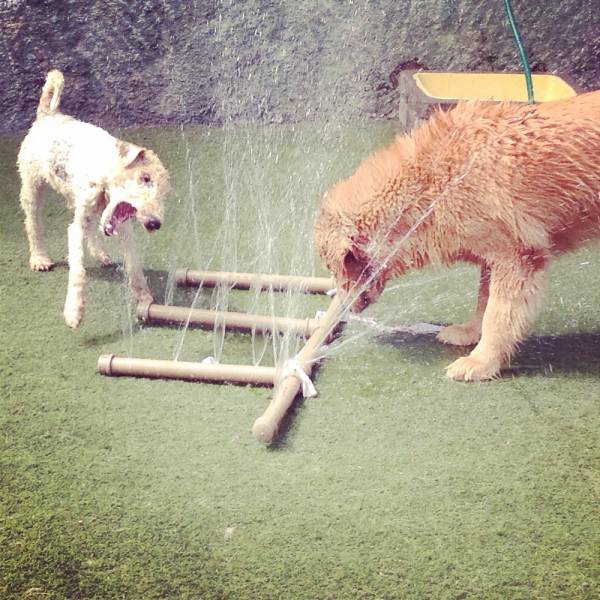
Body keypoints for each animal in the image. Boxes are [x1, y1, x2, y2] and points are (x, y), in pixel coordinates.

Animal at [17, 70, 171, 328]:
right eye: (145, 177)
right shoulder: (78, 225)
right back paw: (40, 258)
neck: (103, 169)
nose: (154, 223)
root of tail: (47, 115)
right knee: (33, 223)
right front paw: (74, 312)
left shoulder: (122, 226)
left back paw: (101, 254)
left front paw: (144, 298)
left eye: (164, 192)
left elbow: (133, 265)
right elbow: (78, 270)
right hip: (32, 186)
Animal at [314, 91, 600, 382]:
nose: (345, 310)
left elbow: (497, 314)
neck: (431, 181)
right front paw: (469, 332)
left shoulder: (518, 256)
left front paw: (481, 361)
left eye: (336, 267)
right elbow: (483, 300)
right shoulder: (492, 251)